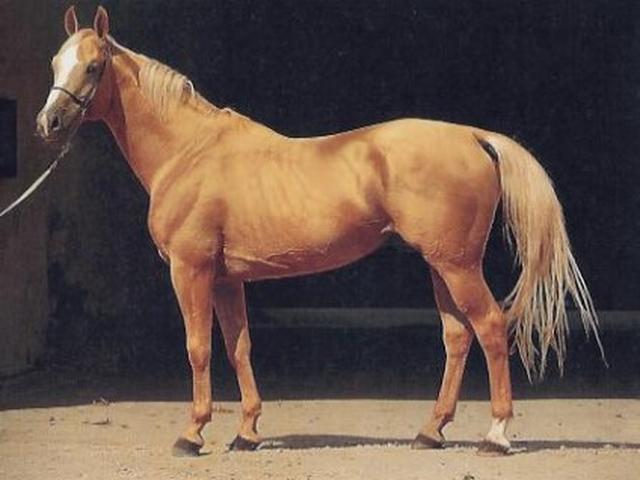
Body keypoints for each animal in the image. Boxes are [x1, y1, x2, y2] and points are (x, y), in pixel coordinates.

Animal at [36, 6, 601, 457]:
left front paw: (192, 434)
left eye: (93, 65)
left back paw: (496, 436)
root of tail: (473, 136)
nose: (49, 123)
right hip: (441, 265)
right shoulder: (227, 279)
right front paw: (246, 432)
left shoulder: (190, 271)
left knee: (490, 328)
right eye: (54, 64)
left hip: (458, 266)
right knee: (458, 336)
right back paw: (431, 431)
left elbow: (198, 348)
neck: (190, 151)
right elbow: (239, 347)